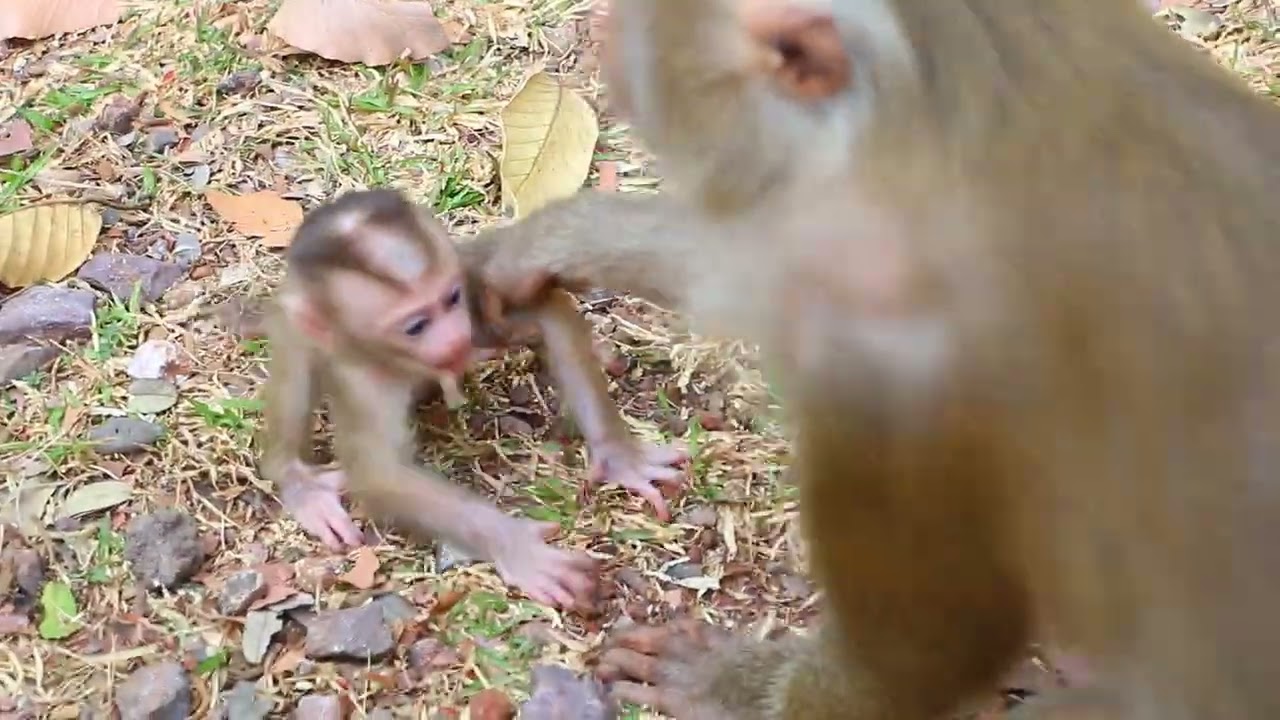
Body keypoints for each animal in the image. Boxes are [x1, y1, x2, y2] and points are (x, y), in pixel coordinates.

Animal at [257, 189, 688, 609]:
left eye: (451, 299)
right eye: (416, 326)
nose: (454, 339)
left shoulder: (475, 292)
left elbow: (549, 312)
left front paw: (621, 459)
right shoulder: (364, 379)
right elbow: (379, 473)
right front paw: (515, 546)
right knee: (296, 358)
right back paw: (298, 480)